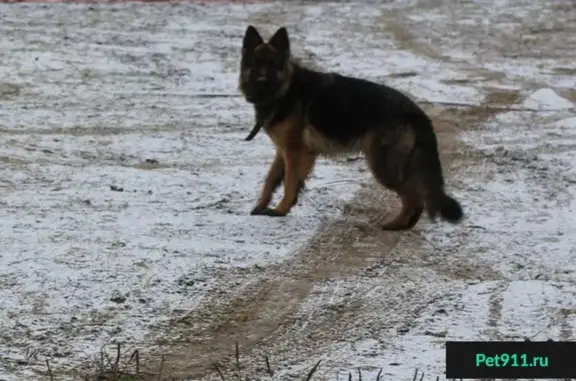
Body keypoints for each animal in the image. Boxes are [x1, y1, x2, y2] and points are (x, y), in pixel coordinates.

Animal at [238, 26, 464, 230]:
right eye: (256, 64)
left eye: (273, 65)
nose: (261, 80)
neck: (286, 90)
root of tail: (416, 112)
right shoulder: (286, 151)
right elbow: (272, 179)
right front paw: (262, 206)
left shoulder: (294, 152)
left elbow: (289, 183)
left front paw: (280, 210)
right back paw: (403, 224)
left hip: (383, 167)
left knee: (414, 197)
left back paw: (396, 225)